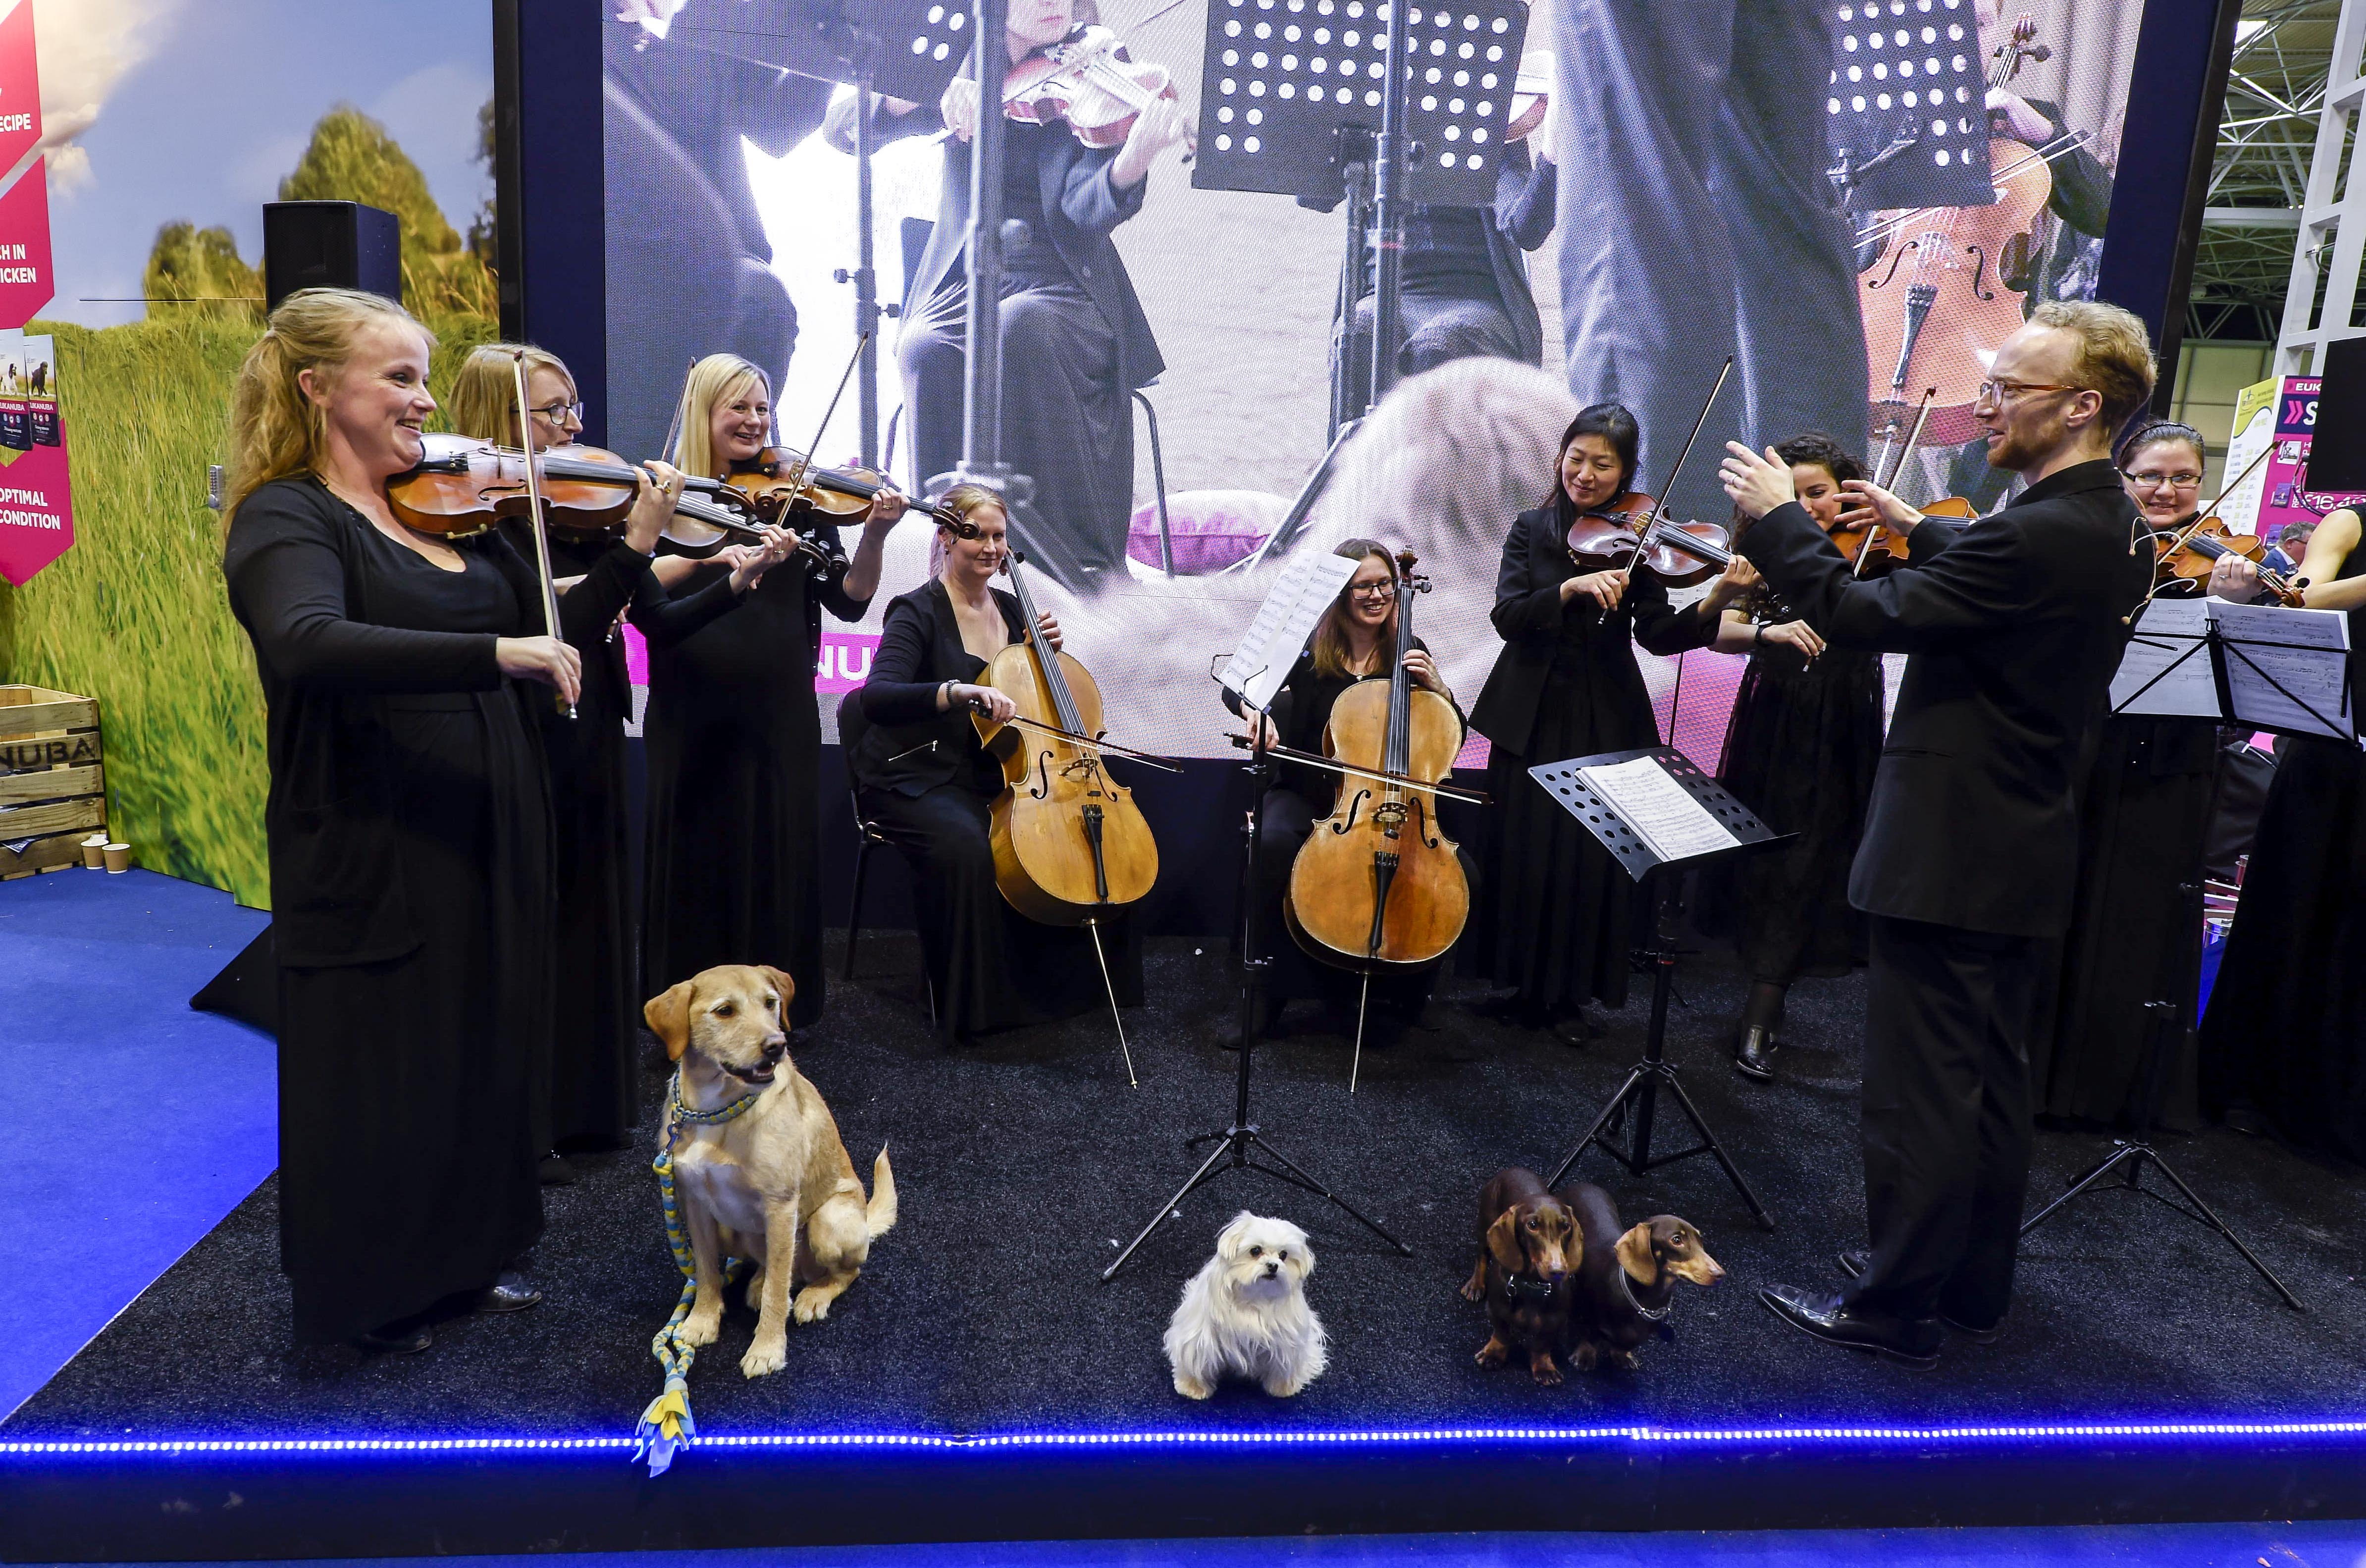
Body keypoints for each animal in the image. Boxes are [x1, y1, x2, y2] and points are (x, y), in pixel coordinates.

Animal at [643, 965, 890, 1381]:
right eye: (724, 1011)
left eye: (771, 1003)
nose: (777, 1046)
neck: (715, 1109)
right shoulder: (694, 1204)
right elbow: (706, 1271)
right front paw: (702, 1321)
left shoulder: (781, 1207)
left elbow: (778, 1292)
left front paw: (767, 1350)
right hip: (734, 1231)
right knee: (770, 1266)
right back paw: (758, 1283)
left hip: (828, 1221)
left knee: (837, 1273)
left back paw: (812, 1296)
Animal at [1164, 1210, 1334, 1400]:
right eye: (1256, 1250)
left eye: (1283, 1255)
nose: (1273, 1266)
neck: (1255, 1296)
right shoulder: (1201, 1336)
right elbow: (1197, 1361)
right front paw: (1193, 1387)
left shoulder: (1286, 1340)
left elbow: (1283, 1364)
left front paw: (1282, 1387)